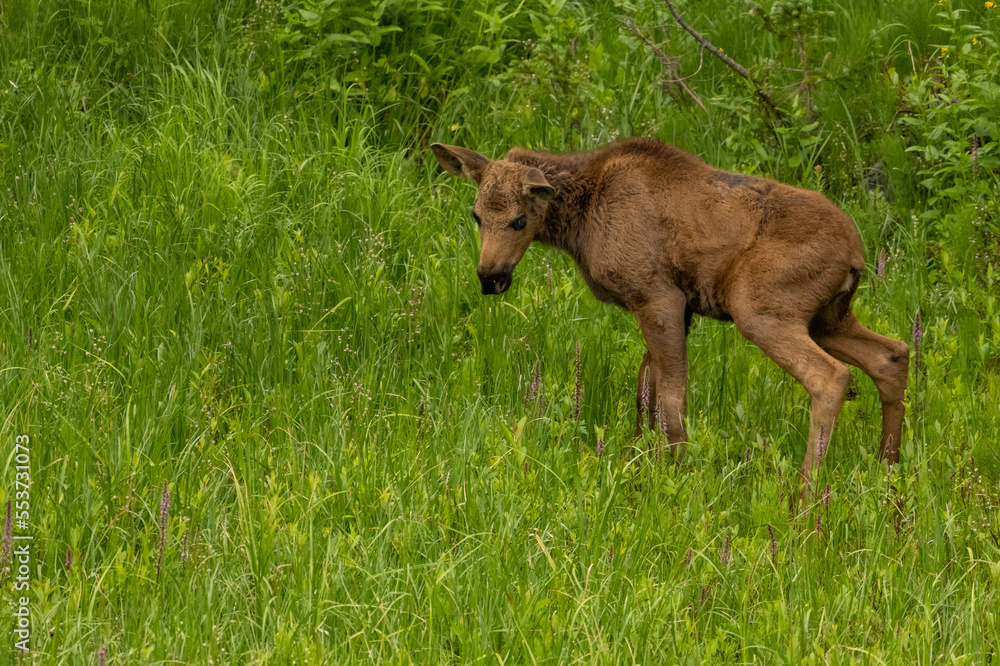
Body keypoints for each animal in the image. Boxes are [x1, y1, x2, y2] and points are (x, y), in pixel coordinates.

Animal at [430, 137, 909, 482]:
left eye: (519, 220)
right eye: (476, 215)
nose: (489, 277)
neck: (581, 220)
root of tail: (857, 254)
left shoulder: (658, 296)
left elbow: (671, 399)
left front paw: (676, 476)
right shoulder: (677, 307)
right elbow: (647, 390)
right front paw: (639, 460)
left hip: (759, 307)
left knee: (830, 376)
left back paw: (806, 490)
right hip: (828, 316)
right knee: (892, 354)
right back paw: (888, 468)